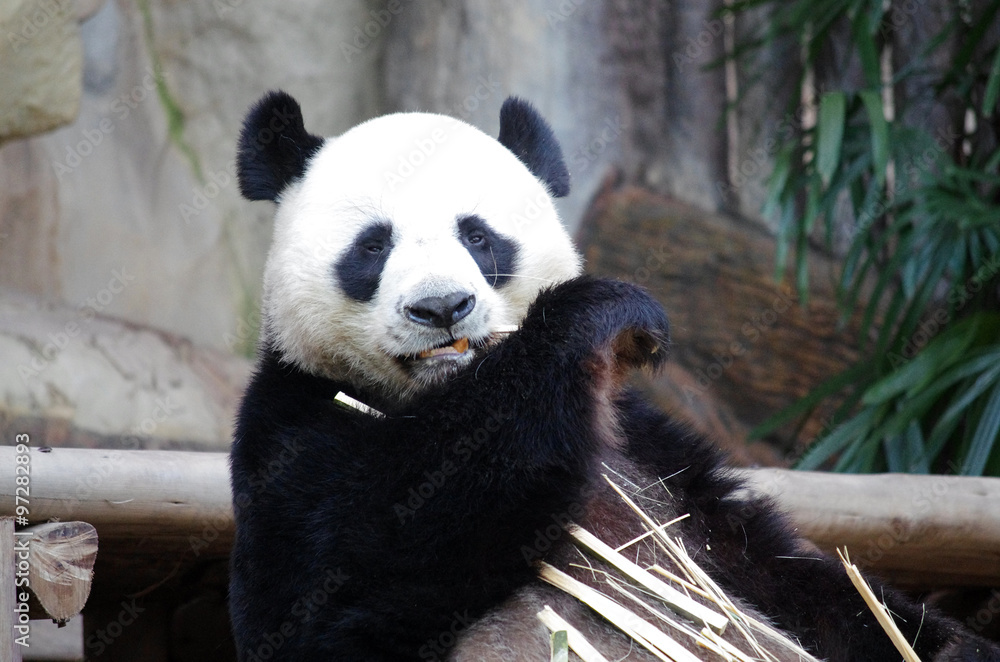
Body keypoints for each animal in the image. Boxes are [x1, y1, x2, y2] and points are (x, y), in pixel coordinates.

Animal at [228, 90, 1000, 662]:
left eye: (478, 236)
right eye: (373, 246)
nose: (442, 308)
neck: (444, 392)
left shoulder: (650, 449)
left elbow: (780, 569)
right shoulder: (293, 430)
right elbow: (354, 578)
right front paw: (601, 313)